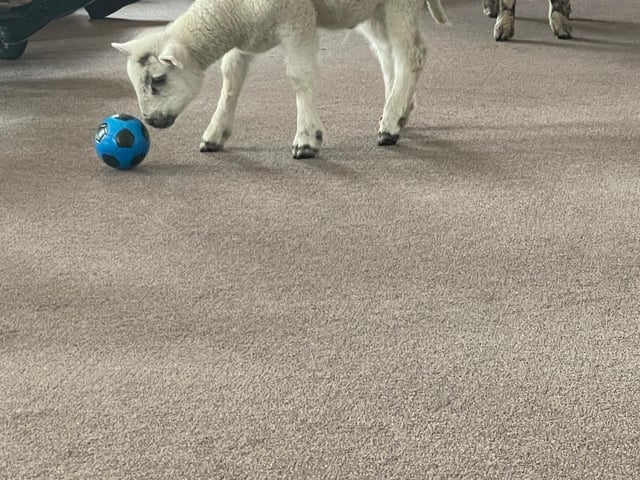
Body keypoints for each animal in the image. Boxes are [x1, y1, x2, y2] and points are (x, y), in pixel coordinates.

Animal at [112, 0, 449, 159]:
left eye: (157, 80)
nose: (150, 121)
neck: (229, 14)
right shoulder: (244, 39)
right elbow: (231, 79)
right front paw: (215, 133)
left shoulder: (297, 18)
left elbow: (299, 77)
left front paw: (307, 139)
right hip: (373, 8)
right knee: (387, 54)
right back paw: (398, 111)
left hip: (397, 3)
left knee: (411, 53)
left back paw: (390, 124)